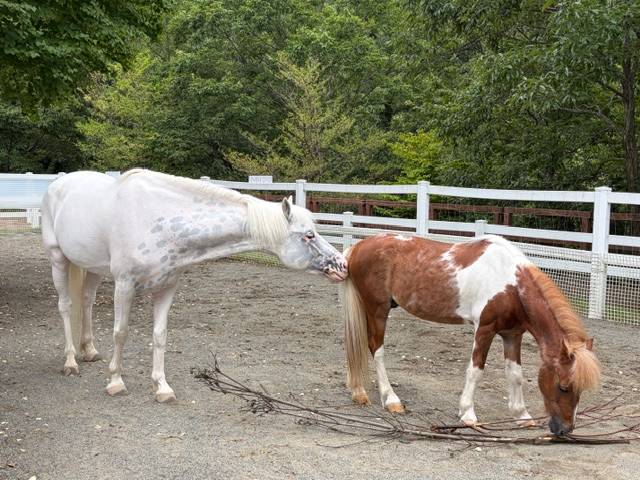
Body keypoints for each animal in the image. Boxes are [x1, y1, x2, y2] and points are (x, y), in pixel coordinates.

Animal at [41, 169, 347, 402]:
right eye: (308, 235)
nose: (342, 265)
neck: (159, 221)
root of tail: (57, 184)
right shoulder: (124, 285)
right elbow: (121, 332)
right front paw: (115, 381)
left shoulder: (167, 287)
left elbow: (160, 335)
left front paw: (162, 387)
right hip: (58, 260)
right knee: (66, 306)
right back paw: (70, 361)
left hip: (92, 268)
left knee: (87, 302)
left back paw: (89, 351)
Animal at [341, 233, 601, 435]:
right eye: (564, 387)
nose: (565, 430)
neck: (511, 285)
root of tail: (358, 247)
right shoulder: (484, 329)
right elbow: (475, 371)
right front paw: (468, 414)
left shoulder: (512, 334)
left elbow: (515, 374)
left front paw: (522, 415)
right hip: (377, 310)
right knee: (376, 349)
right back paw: (391, 399)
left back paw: (358, 391)